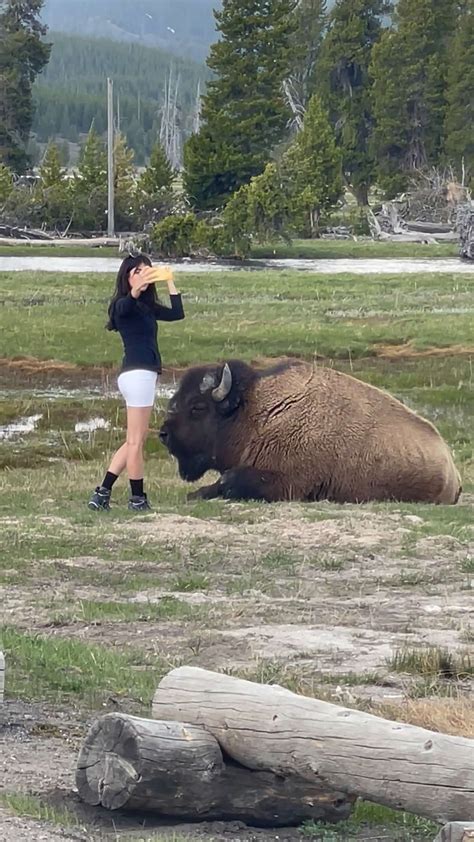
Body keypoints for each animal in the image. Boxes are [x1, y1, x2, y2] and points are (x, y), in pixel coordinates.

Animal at [158, 356, 460, 502]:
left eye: (198, 407)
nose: (164, 434)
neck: (256, 412)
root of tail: (451, 467)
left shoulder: (288, 482)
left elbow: (229, 480)